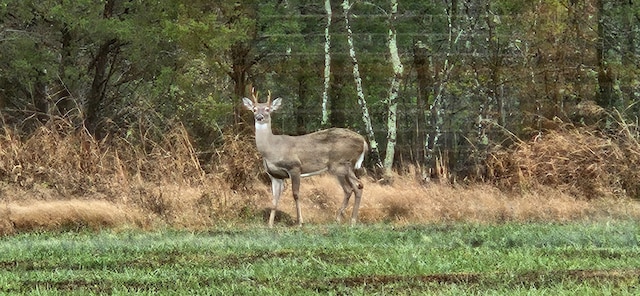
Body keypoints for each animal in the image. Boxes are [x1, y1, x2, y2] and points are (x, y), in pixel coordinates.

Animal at [242, 88, 368, 227]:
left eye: (268, 109)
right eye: (254, 109)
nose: (259, 117)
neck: (272, 149)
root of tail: (364, 142)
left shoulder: (295, 167)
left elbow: (296, 194)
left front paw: (300, 222)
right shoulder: (275, 175)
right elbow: (274, 199)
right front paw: (270, 225)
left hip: (339, 165)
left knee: (351, 188)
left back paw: (345, 220)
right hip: (345, 167)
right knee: (356, 187)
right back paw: (347, 220)